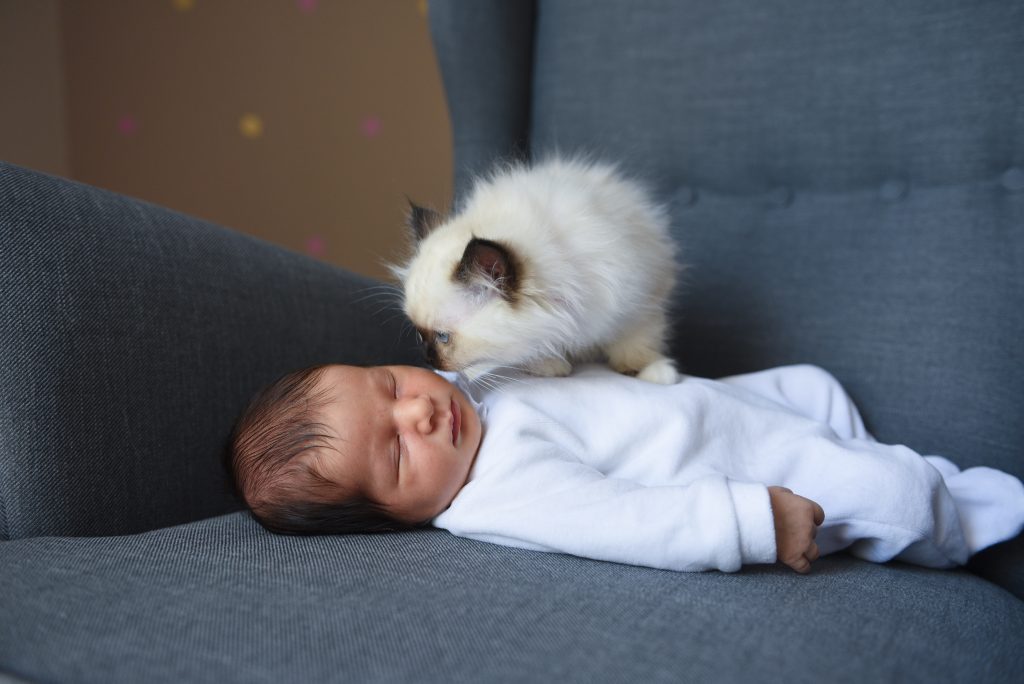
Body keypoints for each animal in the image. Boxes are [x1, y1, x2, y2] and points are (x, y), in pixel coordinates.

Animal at [391, 154, 679, 385]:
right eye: (420, 334)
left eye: (442, 337)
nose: (427, 359)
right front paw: (551, 365)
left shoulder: (641, 301)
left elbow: (636, 343)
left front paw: (652, 372)